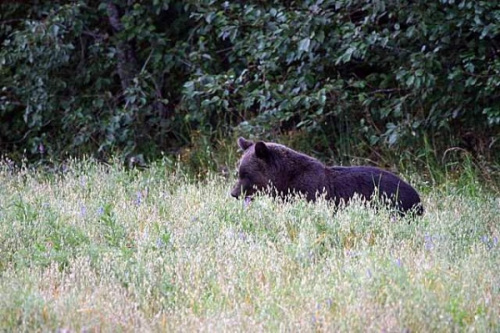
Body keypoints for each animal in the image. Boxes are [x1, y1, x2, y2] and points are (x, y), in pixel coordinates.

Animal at [230, 136, 422, 215]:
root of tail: (418, 198)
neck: (284, 179)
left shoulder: (310, 191)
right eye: (239, 172)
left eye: (245, 174)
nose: (233, 193)